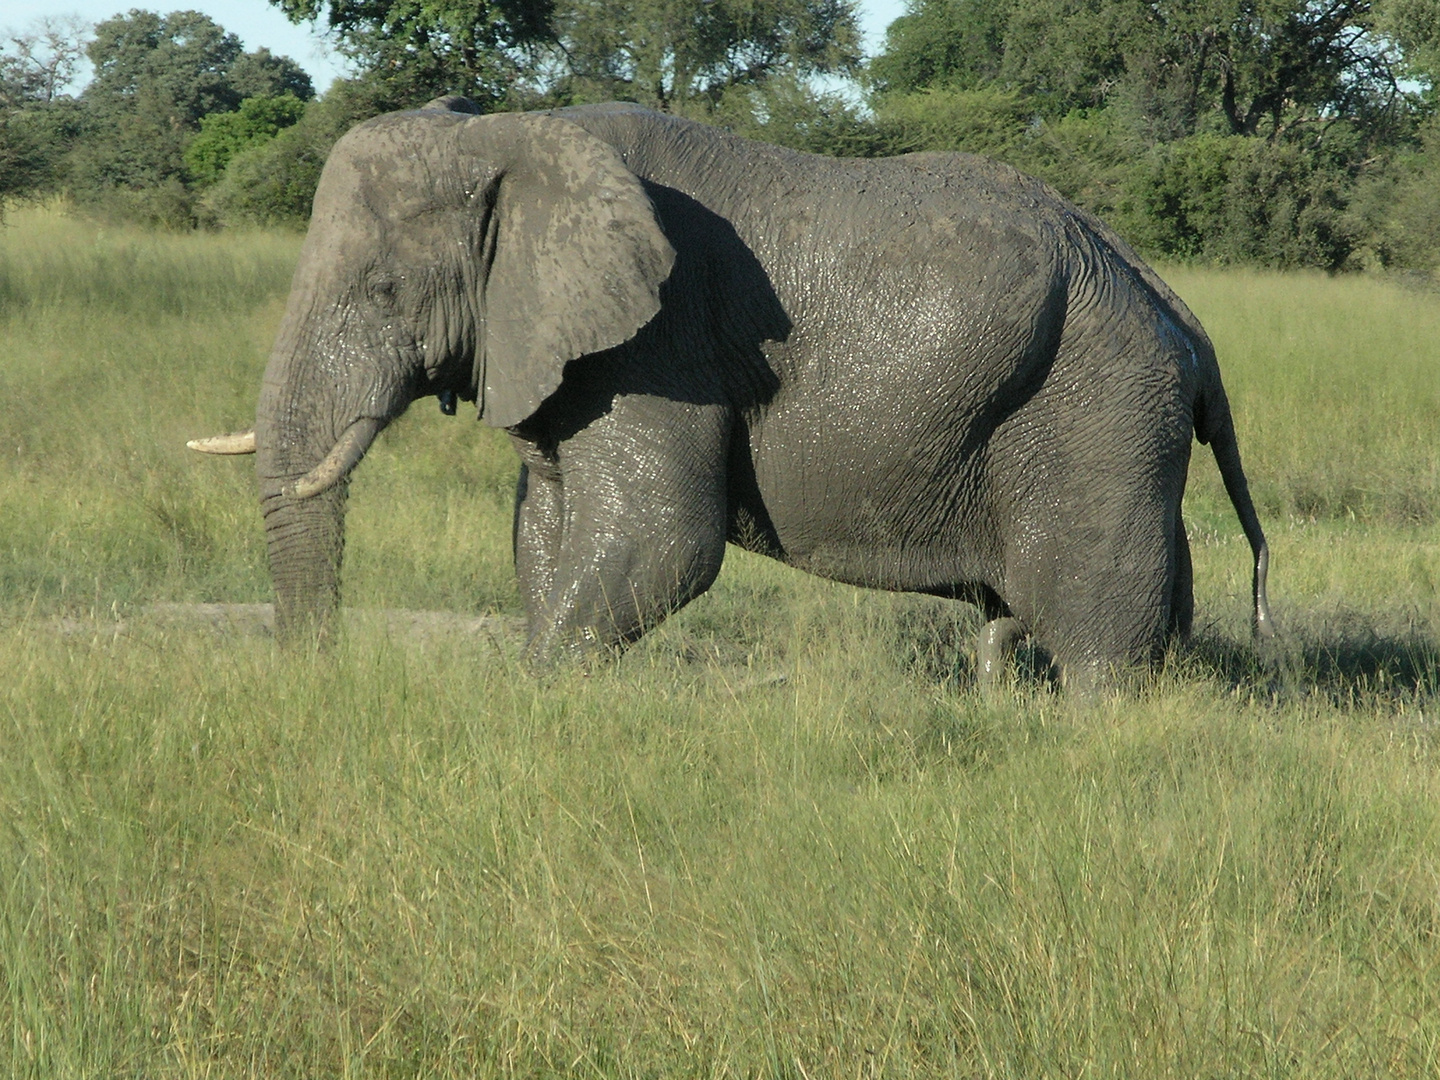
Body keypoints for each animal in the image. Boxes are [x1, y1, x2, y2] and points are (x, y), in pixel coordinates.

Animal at [188, 92, 1272, 685]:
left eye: (383, 289)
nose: (319, 686)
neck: (518, 132)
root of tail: (1185, 323)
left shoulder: (663, 341)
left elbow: (659, 543)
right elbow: (543, 532)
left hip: (1098, 413)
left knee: (1100, 642)